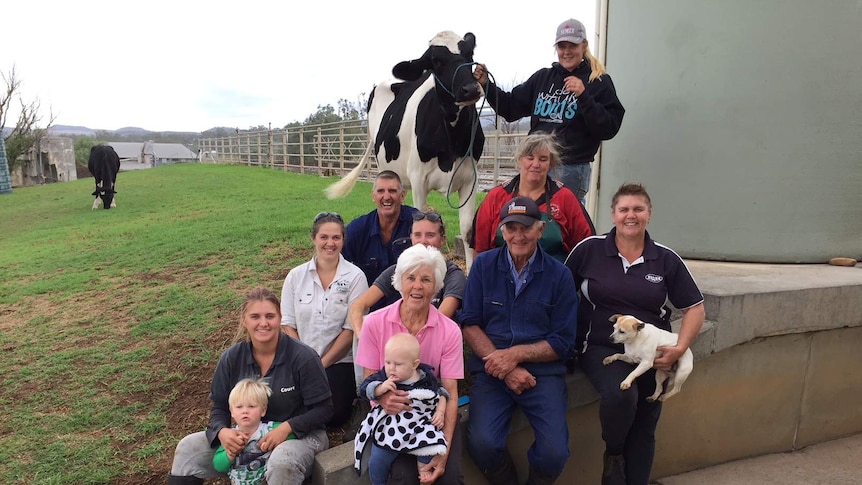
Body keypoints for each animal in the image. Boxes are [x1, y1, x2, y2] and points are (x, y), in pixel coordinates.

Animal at [326, 31, 486, 268]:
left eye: (470, 54)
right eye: (435, 61)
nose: (470, 89)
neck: (452, 136)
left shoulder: (470, 179)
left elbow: (467, 232)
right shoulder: (419, 178)